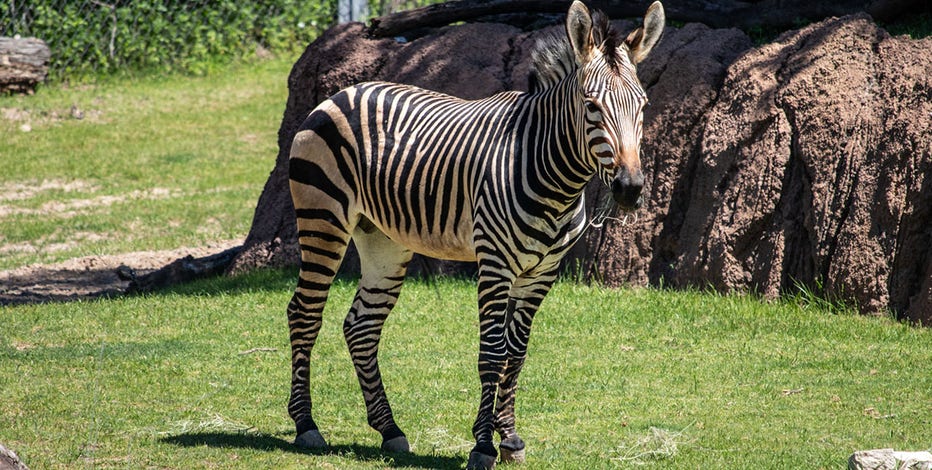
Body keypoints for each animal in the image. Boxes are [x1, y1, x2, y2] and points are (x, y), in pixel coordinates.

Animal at [285, 1, 664, 468]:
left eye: (643, 105)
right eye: (591, 105)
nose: (630, 188)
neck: (550, 171)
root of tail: (343, 93)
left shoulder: (542, 272)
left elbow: (517, 353)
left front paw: (511, 439)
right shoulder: (495, 264)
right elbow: (492, 353)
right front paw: (483, 445)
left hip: (383, 240)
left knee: (361, 326)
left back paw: (390, 429)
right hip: (323, 219)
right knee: (304, 313)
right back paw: (306, 425)